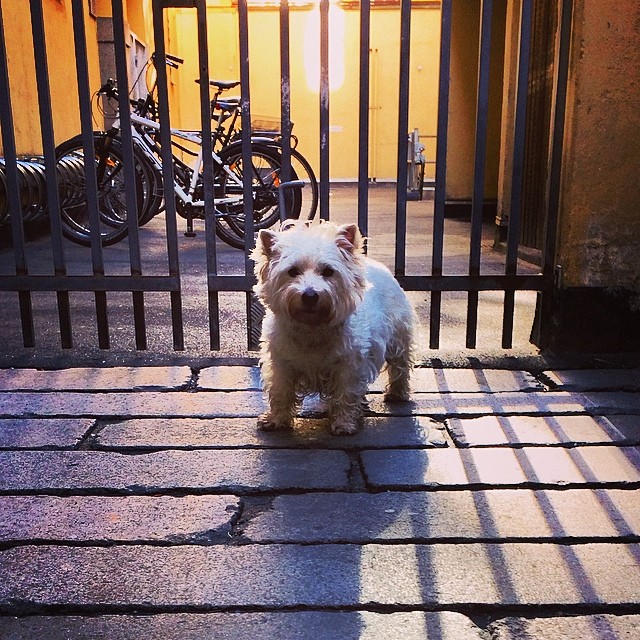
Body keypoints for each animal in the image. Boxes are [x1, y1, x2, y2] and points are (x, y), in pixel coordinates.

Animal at [252, 220, 418, 436]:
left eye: (328, 271)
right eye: (292, 271)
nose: (310, 295)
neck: (312, 329)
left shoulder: (349, 364)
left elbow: (345, 393)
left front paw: (344, 424)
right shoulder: (281, 362)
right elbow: (281, 391)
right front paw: (274, 420)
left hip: (398, 336)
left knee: (400, 366)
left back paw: (397, 394)